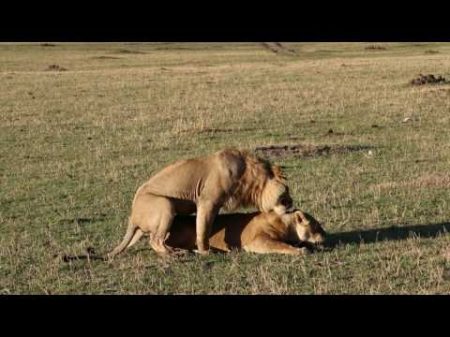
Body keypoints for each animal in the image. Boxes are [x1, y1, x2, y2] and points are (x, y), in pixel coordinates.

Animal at [107, 148, 294, 256]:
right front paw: (205, 252)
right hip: (165, 205)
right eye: (286, 193)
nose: (291, 204)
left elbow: (208, 227)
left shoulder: (216, 205)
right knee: (155, 240)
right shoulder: (207, 201)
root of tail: (132, 215)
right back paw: (173, 254)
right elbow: (202, 229)